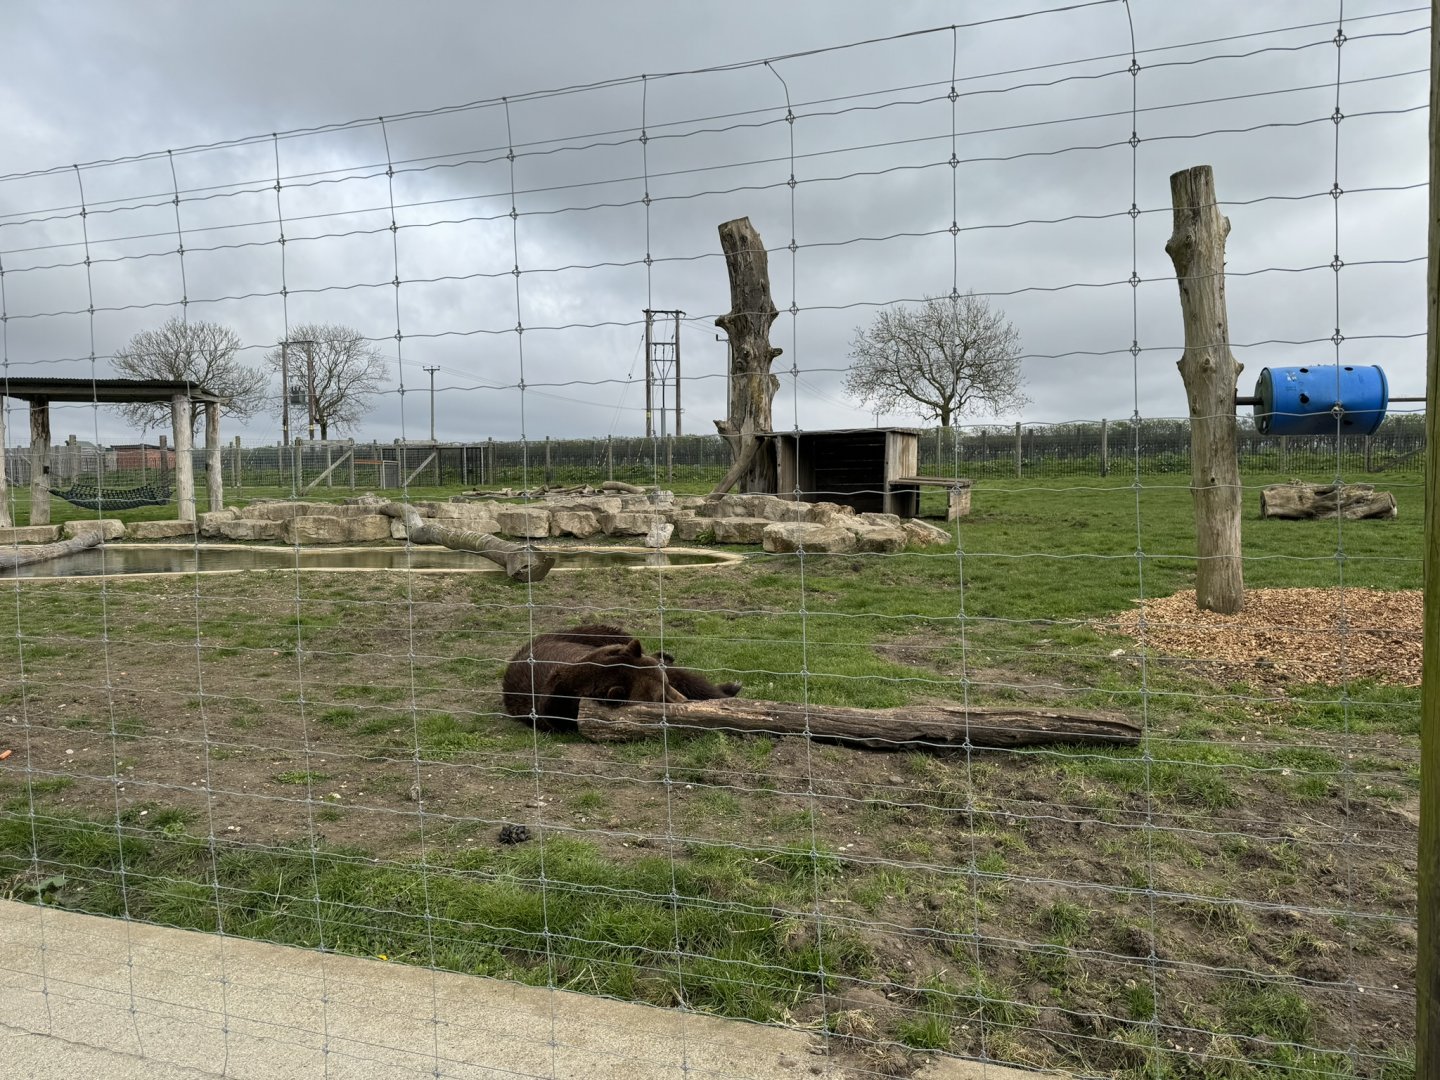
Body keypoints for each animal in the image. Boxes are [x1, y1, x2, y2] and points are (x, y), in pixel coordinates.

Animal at [501, 624, 741, 733]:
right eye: (659, 697)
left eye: (665, 685)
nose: (684, 701)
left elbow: (686, 679)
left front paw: (728, 690)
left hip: (587, 636)